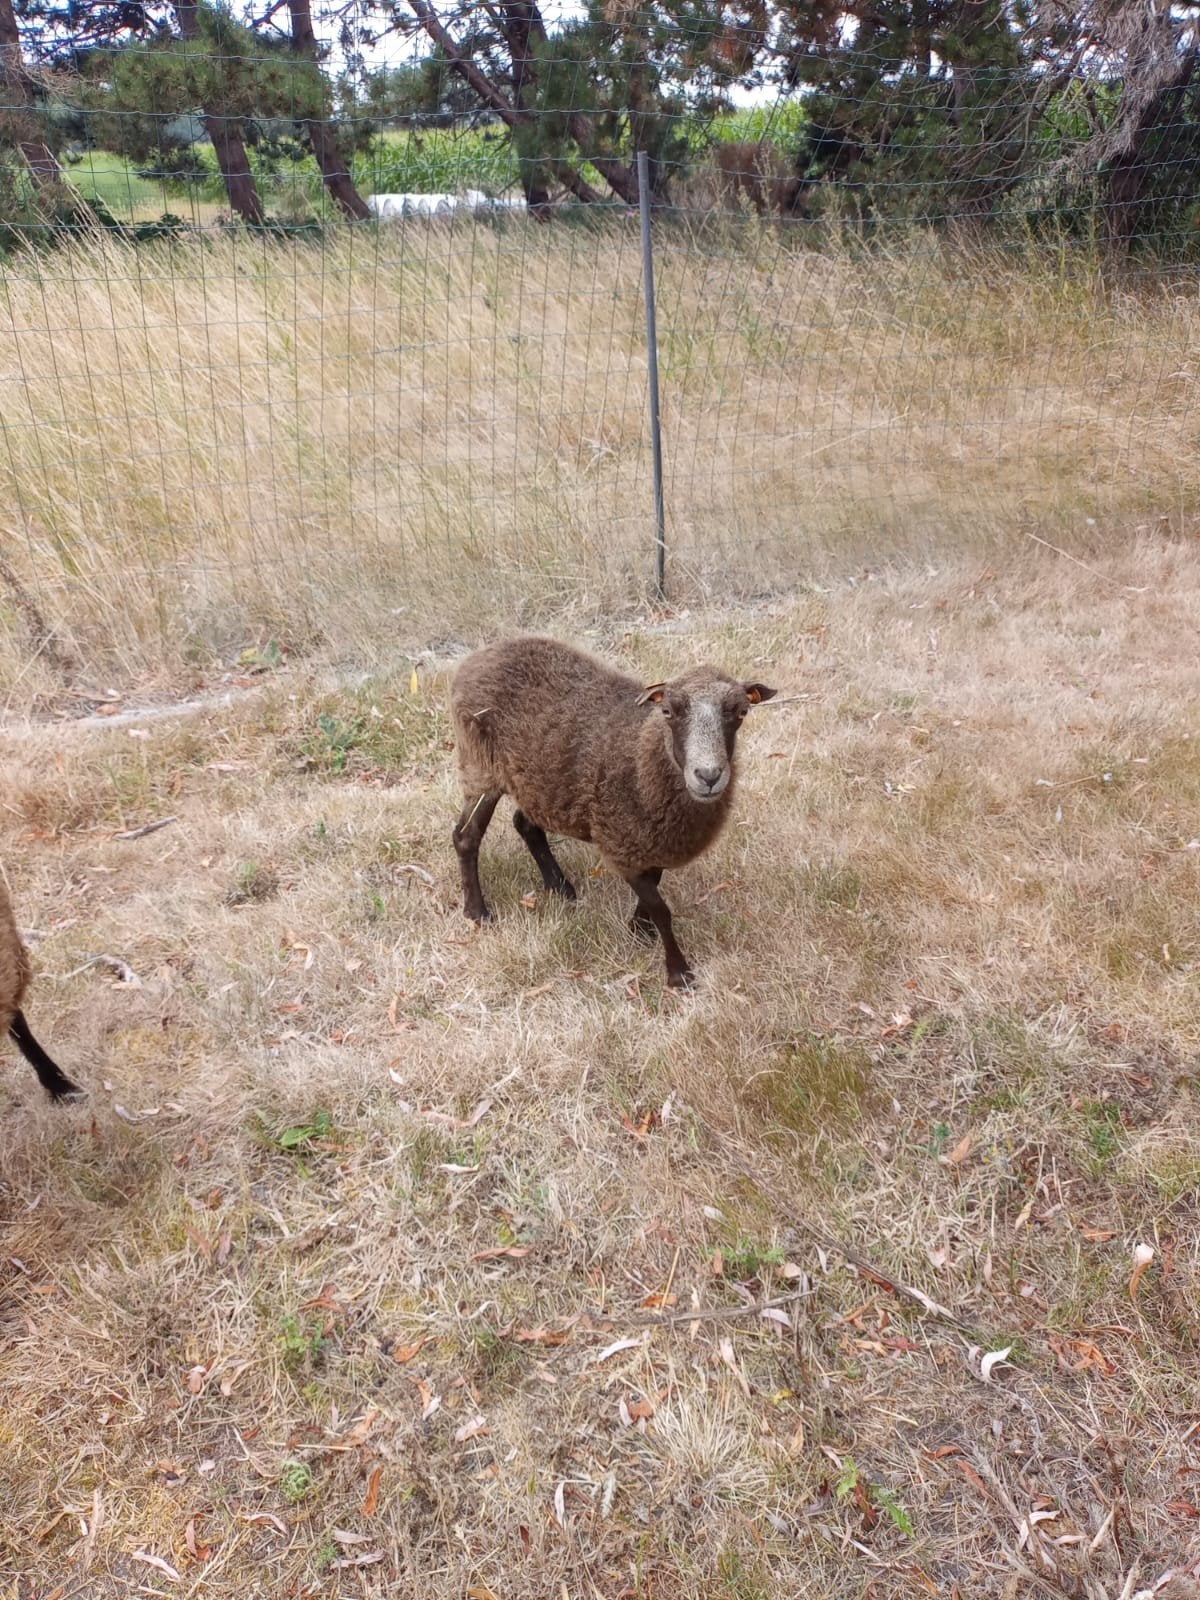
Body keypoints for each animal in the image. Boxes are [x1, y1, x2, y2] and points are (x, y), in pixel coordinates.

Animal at [450, 636, 776, 988]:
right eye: (668, 711)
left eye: (741, 711)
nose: (709, 775)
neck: (642, 756)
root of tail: (482, 654)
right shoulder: (621, 845)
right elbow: (661, 909)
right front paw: (678, 972)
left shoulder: (648, 841)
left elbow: (655, 888)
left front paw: (639, 928)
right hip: (481, 767)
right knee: (465, 836)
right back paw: (477, 912)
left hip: (535, 782)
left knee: (525, 824)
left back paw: (560, 887)